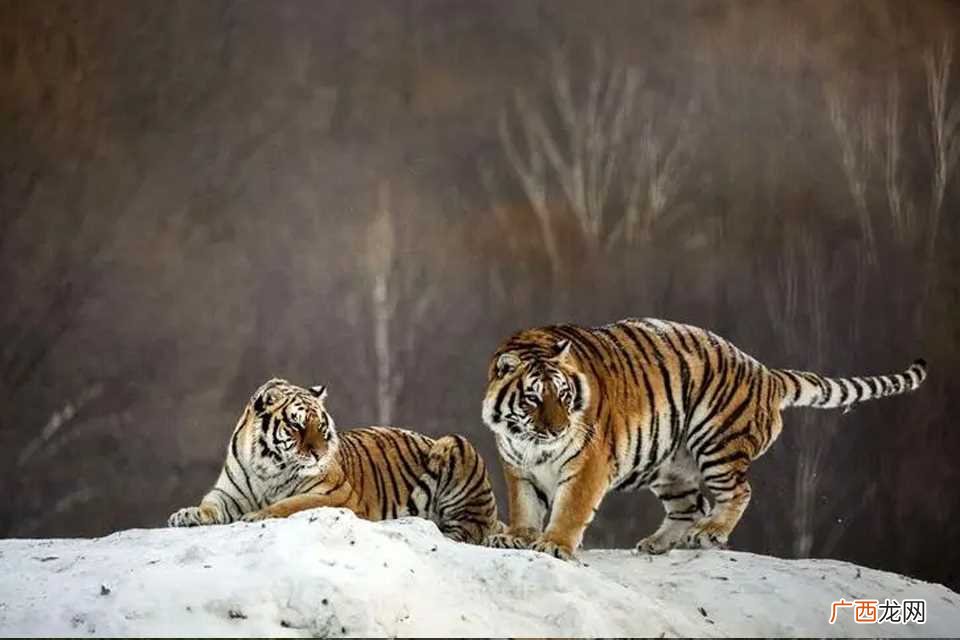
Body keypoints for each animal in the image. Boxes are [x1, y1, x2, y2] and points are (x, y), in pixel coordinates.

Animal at [168, 377, 502, 544]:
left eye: (321, 426)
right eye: (297, 425)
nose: (318, 453)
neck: (267, 468)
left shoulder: (335, 495)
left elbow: (290, 504)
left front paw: (256, 516)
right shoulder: (228, 493)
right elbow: (210, 506)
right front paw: (186, 515)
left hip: (456, 444)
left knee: (469, 531)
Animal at [481, 317, 928, 560]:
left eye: (563, 396)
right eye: (534, 398)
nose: (557, 429)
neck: (531, 444)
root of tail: (764, 372)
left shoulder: (587, 464)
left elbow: (570, 509)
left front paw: (554, 545)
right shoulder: (517, 468)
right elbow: (525, 506)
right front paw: (516, 537)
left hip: (717, 441)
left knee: (738, 492)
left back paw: (710, 532)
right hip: (670, 466)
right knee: (690, 507)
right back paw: (658, 543)